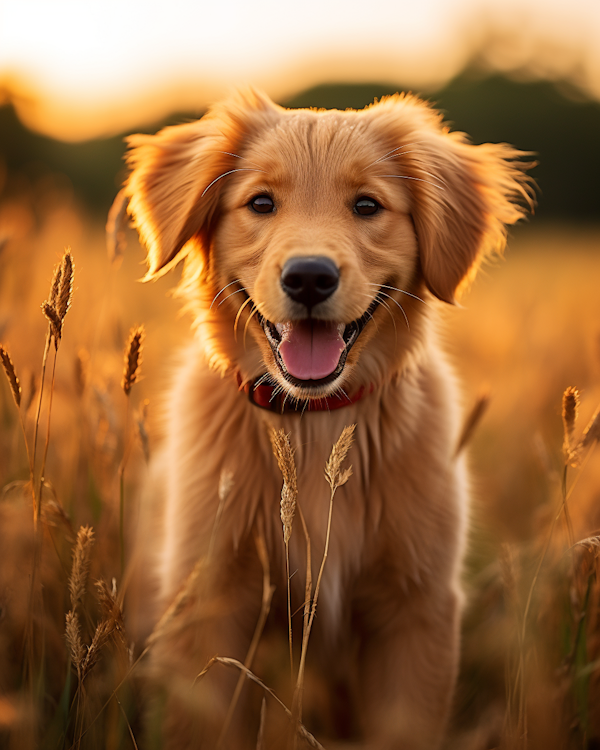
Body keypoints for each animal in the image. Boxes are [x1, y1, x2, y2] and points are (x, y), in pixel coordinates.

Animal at [120, 89, 528, 750]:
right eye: (261, 202)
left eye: (367, 205)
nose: (309, 276)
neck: (314, 424)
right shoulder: (208, 600)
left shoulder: (416, 608)